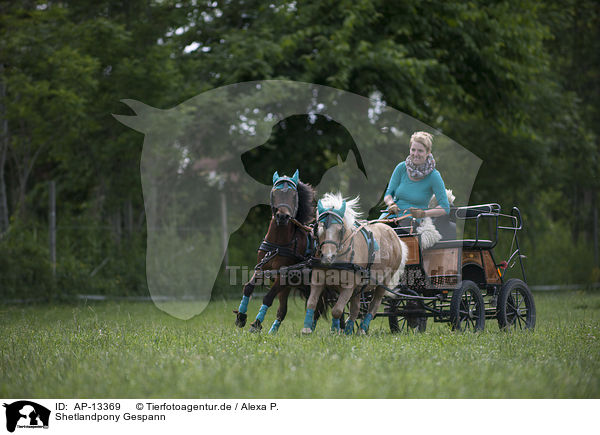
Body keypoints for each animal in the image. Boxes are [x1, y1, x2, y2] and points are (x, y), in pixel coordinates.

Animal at [236, 170, 328, 334]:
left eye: (293, 195)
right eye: (275, 192)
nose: (282, 216)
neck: (278, 243)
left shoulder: (284, 275)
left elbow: (268, 297)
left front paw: (256, 324)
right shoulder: (262, 268)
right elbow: (248, 287)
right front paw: (241, 316)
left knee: (322, 308)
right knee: (285, 310)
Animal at [300, 192, 408, 336]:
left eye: (340, 230)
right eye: (318, 228)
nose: (327, 257)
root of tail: (393, 233)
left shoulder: (348, 286)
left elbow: (337, 310)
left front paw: (335, 331)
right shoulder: (318, 281)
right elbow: (312, 303)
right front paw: (307, 329)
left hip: (382, 283)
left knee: (373, 306)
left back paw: (362, 329)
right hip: (359, 287)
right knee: (356, 309)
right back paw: (349, 330)